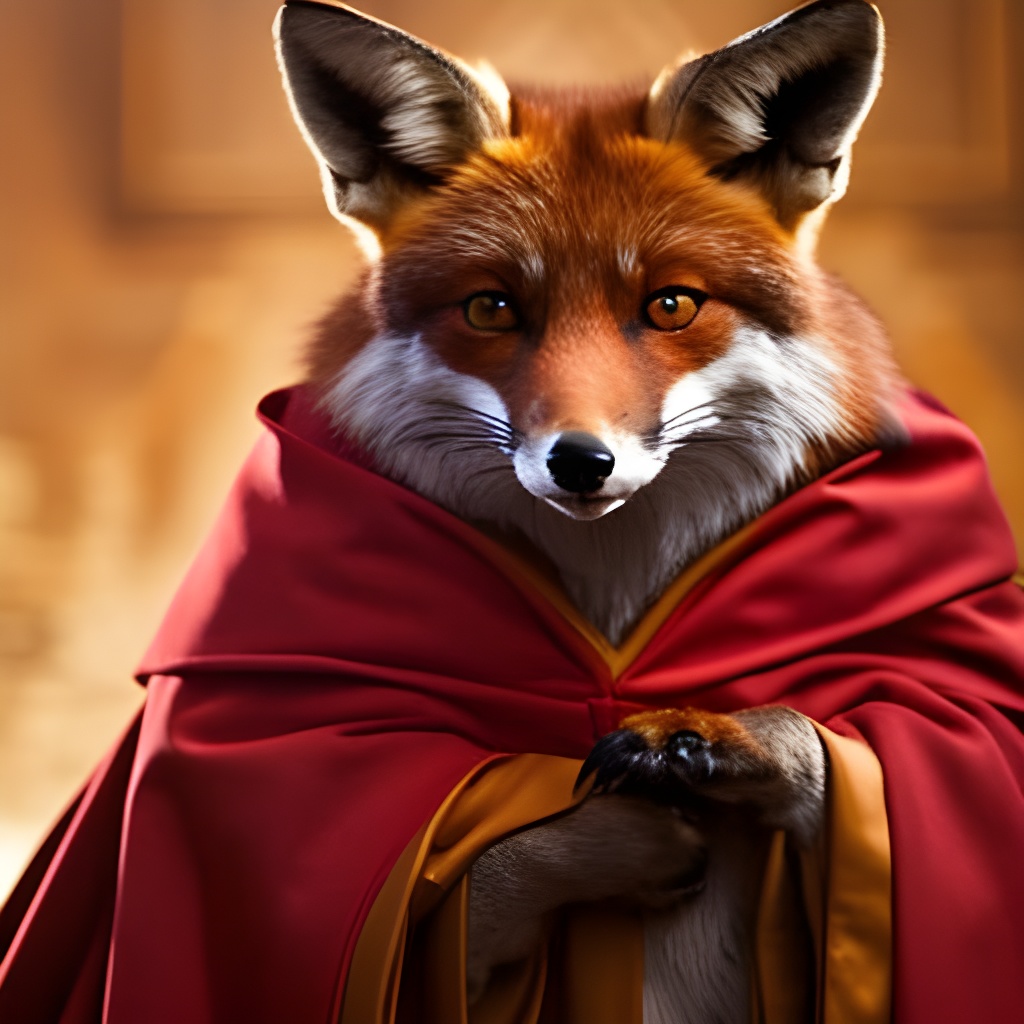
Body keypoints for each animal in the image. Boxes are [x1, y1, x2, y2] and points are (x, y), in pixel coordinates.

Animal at [275, 0, 893, 1020]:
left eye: (671, 304)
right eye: (491, 308)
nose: (580, 461)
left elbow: (812, 739)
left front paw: (704, 735)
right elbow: (488, 861)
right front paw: (624, 833)